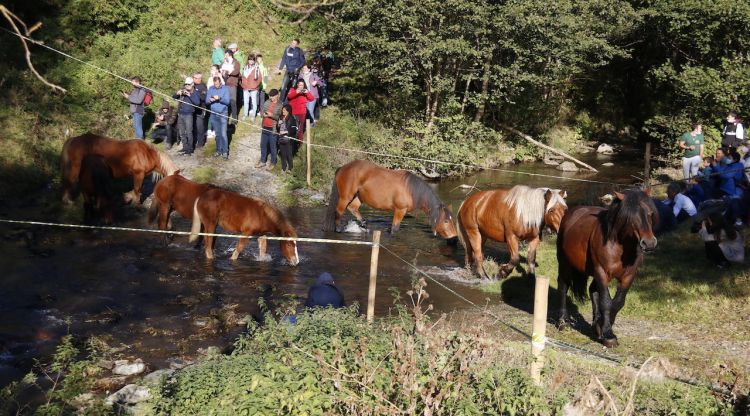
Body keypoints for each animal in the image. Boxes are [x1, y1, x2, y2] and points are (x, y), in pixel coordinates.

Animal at [322, 158, 458, 239]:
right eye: (446, 221)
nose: (454, 236)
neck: (411, 190)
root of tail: (342, 168)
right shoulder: (400, 210)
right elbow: (395, 228)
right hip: (346, 196)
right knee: (339, 210)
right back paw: (339, 229)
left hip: (358, 197)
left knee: (353, 208)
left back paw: (364, 225)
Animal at [560, 189, 656, 348]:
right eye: (630, 217)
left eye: (650, 213)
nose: (649, 243)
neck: (619, 246)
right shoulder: (602, 272)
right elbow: (606, 301)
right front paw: (608, 334)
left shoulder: (628, 276)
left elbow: (617, 302)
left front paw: (602, 328)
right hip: (565, 264)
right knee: (563, 286)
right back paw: (563, 322)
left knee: (593, 290)